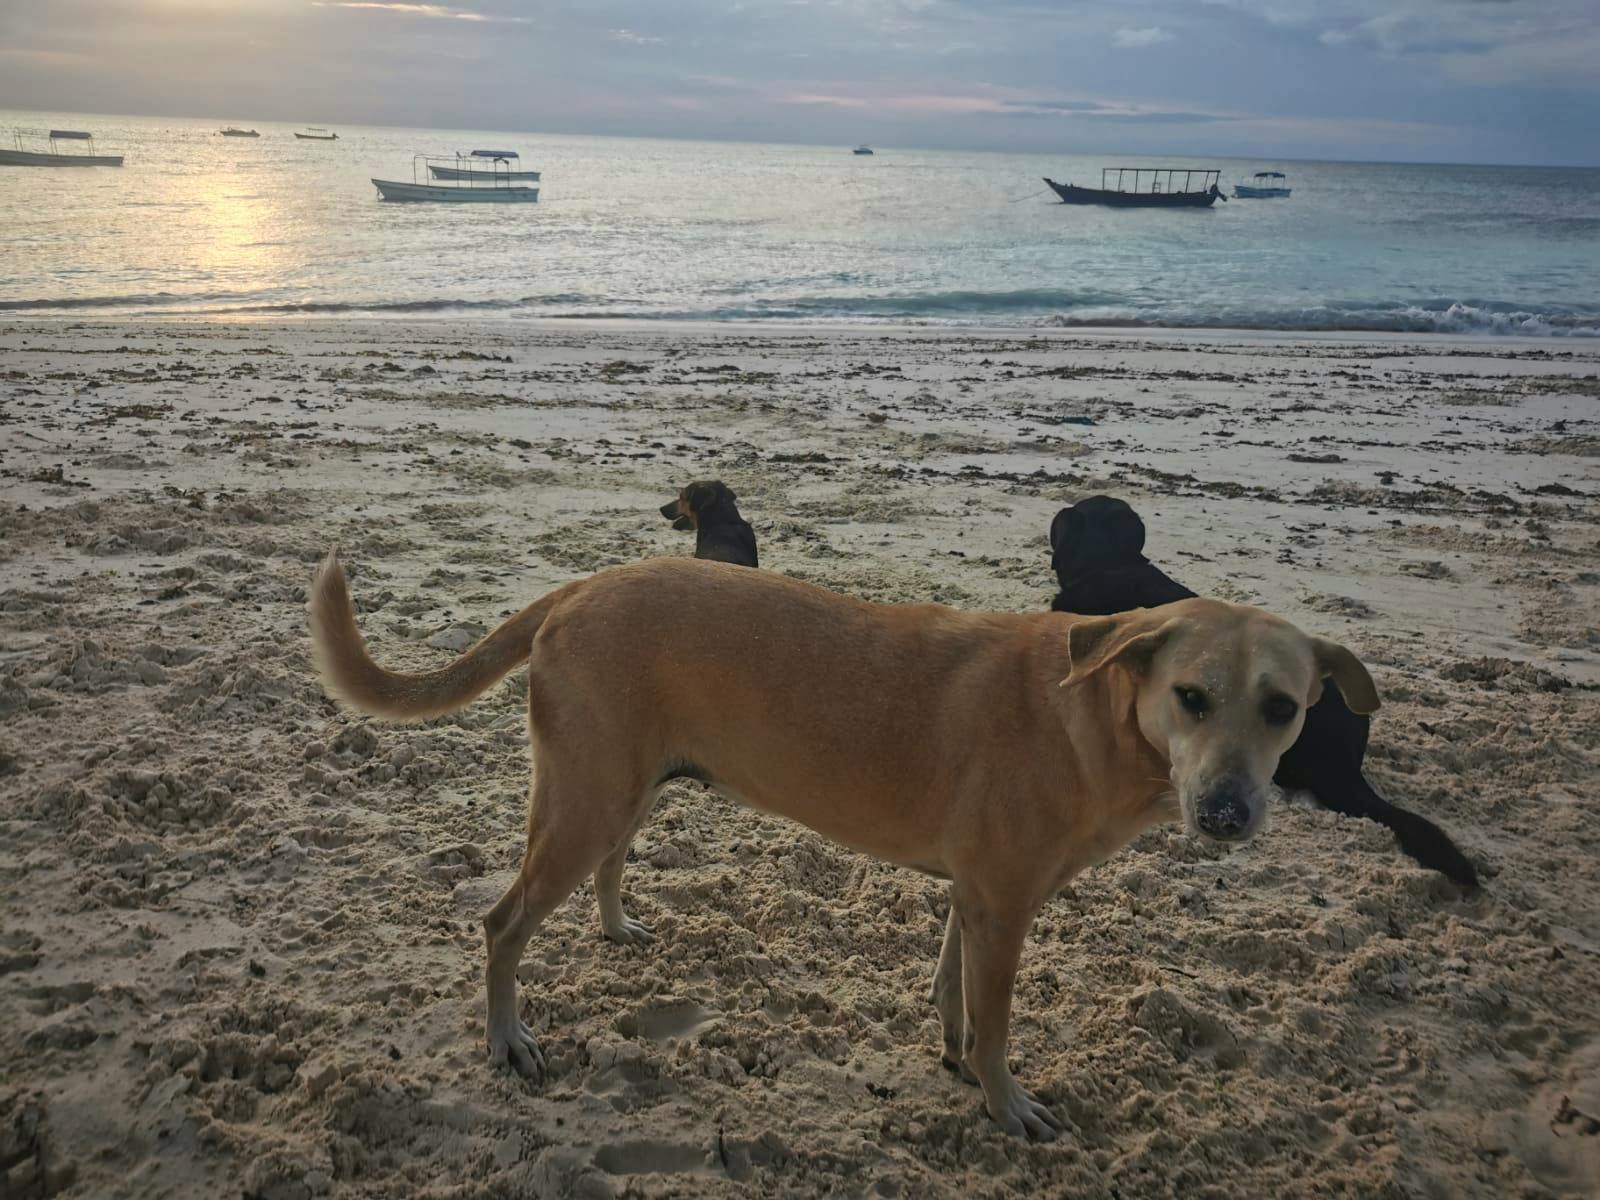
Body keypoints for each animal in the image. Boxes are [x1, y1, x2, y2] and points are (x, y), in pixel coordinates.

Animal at [308, 553, 1376, 1139]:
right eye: (1191, 697)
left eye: (1283, 708)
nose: (1228, 814)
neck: (1100, 713)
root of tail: (577, 588)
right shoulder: (1005, 909)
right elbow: (997, 1027)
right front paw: (1005, 1105)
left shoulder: (977, 899)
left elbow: (953, 996)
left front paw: (954, 1057)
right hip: (584, 802)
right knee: (502, 923)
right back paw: (506, 1038)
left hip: (622, 790)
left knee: (607, 865)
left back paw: (616, 929)